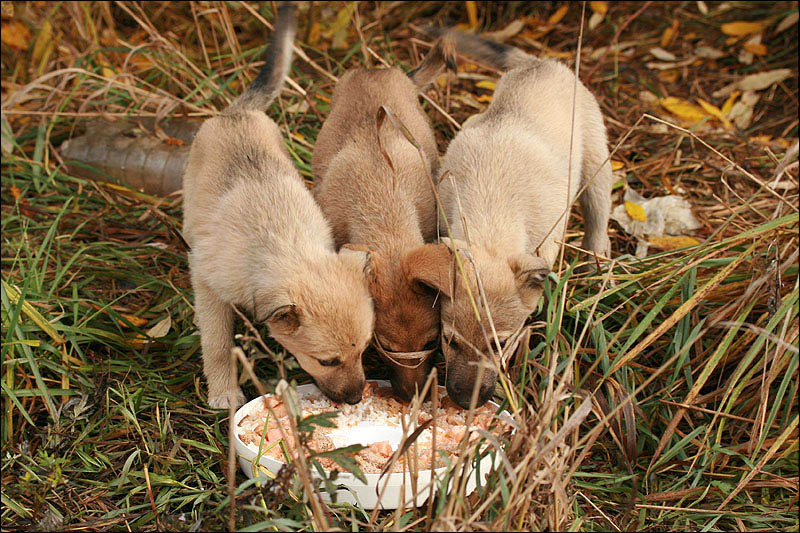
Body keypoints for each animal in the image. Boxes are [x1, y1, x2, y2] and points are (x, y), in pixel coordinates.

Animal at [184, 2, 376, 408]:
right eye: (327, 360)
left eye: (365, 348)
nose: (355, 399)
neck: (283, 244)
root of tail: (234, 113)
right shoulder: (208, 284)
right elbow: (218, 343)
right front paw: (224, 391)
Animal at [410, 29, 616, 408]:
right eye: (450, 340)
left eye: (499, 344)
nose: (465, 401)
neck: (492, 217)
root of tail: (540, 63)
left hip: (597, 167)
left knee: (598, 219)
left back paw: (598, 264)